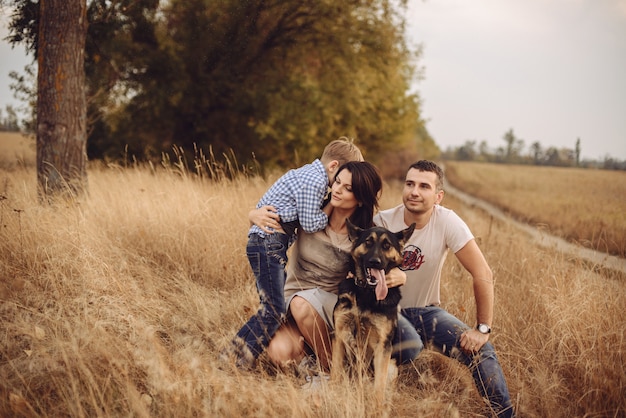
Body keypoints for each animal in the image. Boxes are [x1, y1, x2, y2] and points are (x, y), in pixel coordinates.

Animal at [332, 220, 414, 404]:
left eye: (386, 245)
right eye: (368, 242)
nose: (375, 262)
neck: (366, 293)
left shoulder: (382, 346)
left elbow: (379, 387)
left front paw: (376, 407)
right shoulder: (340, 335)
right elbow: (336, 372)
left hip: (391, 366)